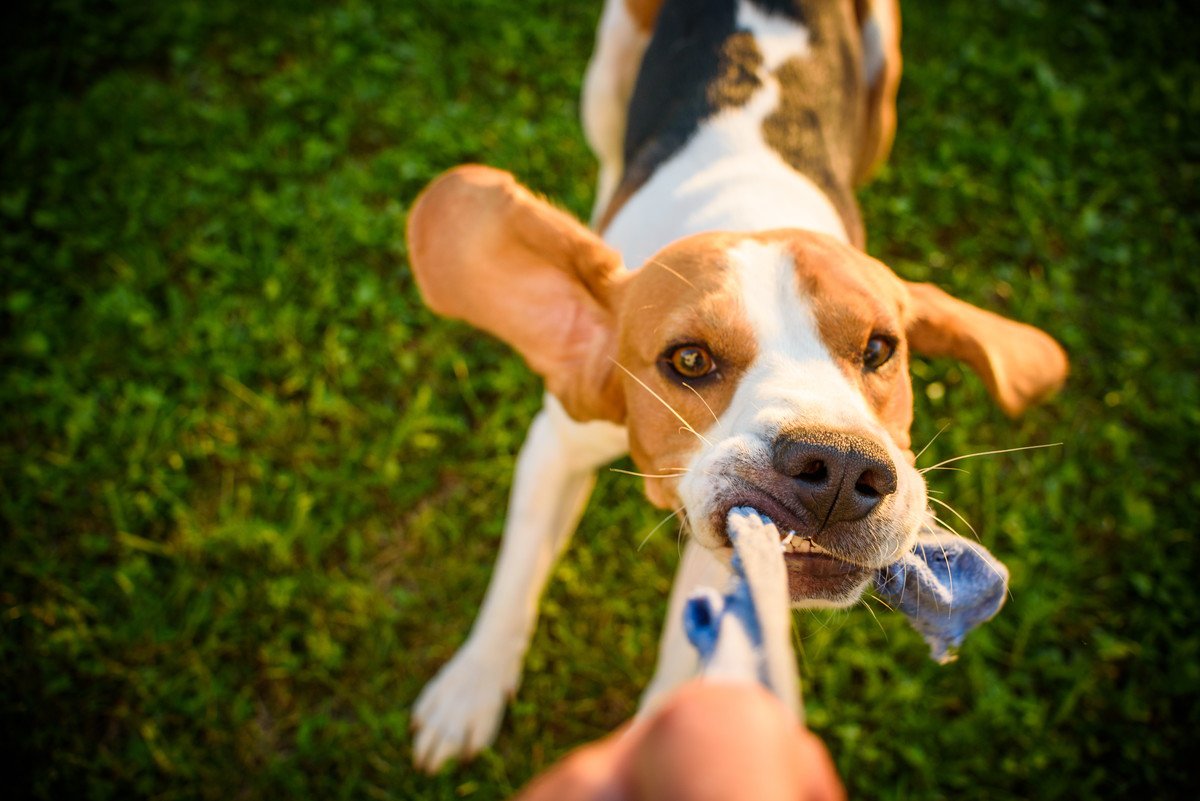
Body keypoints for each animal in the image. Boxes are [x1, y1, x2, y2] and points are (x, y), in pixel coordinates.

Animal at [405, 0, 1070, 777]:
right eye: (689, 360)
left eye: (880, 349)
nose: (839, 467)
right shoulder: (559, 442)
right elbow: (515, 574)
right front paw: (469, 690)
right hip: (607, 68)